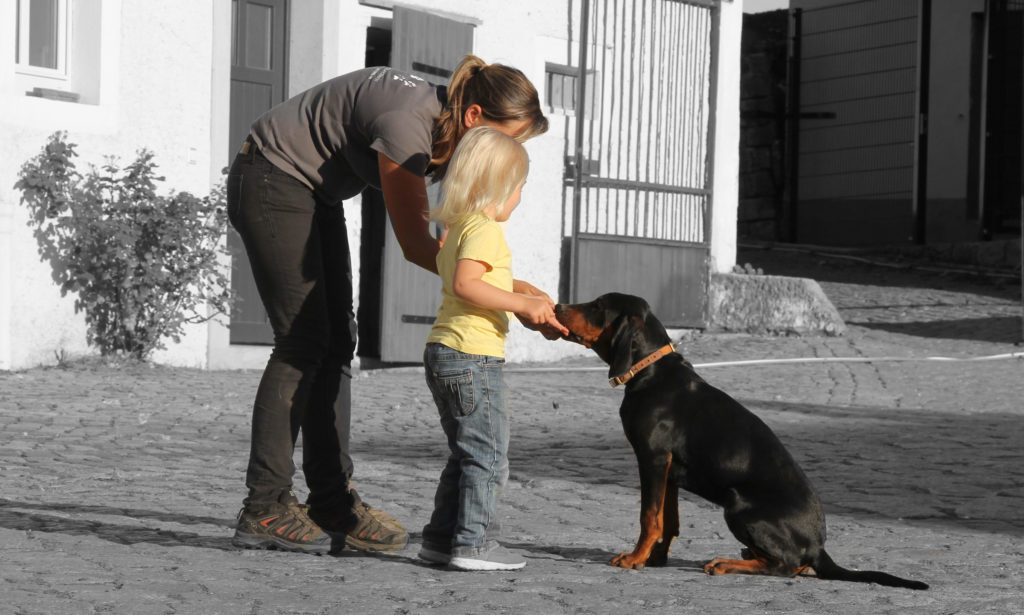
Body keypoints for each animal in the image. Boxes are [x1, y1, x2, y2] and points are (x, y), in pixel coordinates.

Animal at [557, 292, 933, 589]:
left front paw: (635, 558)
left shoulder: (652, 458)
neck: (651, 373)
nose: (558, 305)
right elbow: (669, 520)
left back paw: (726, 563)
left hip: (737, 504)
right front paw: (655, 559)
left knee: (786, 567)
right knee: (792, 565)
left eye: (598, 305)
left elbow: (649, 517)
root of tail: (819, 547)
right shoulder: (669, 471)